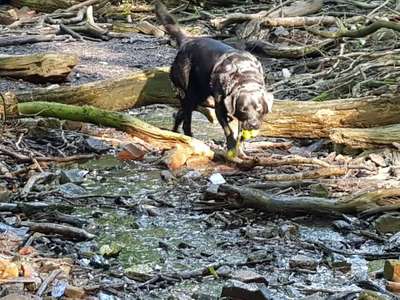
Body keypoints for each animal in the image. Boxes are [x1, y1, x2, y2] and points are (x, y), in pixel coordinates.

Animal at [155, 0, 274, 152]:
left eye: (259, 109)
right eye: (243, 110)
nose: (253, 124)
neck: (244, 75)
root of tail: (187, 41)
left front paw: (240, 147)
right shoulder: (220, 109)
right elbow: (228, 130)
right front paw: (231, 147)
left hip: (199, 95)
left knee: (180, 114)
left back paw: (175, 133)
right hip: (188, 92)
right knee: (186, 119)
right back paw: (189, 137)